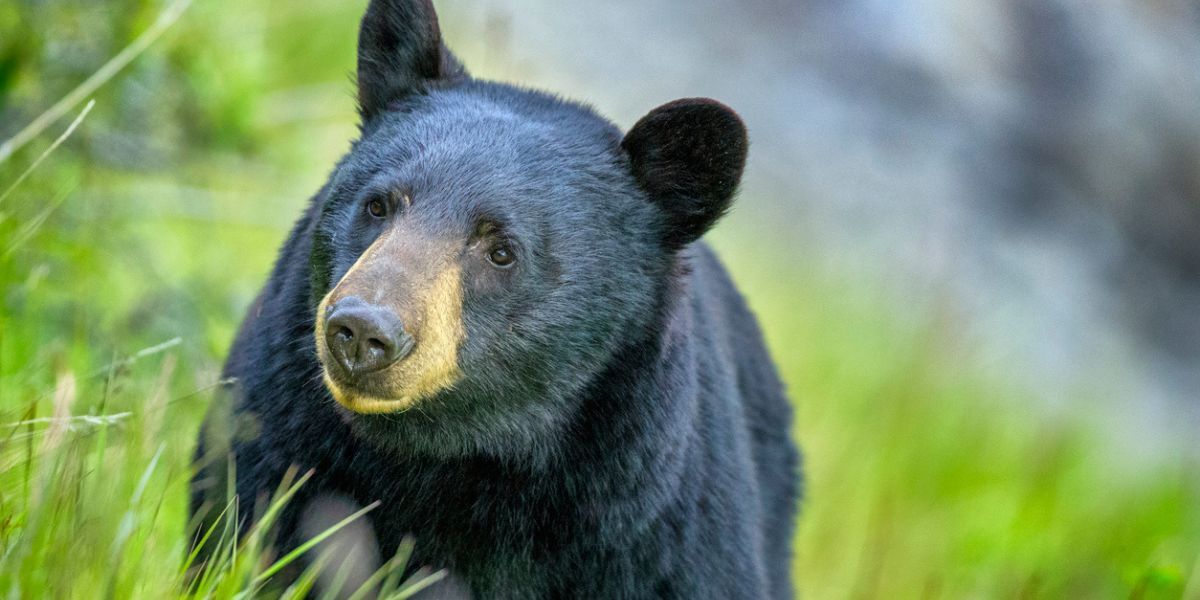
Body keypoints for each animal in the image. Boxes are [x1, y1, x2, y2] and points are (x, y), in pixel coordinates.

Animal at [191, 0, 800, 597]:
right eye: (378, 205)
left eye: (502, 250)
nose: (362, 332)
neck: (456, 454)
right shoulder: (276, 434)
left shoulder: (653, 536)